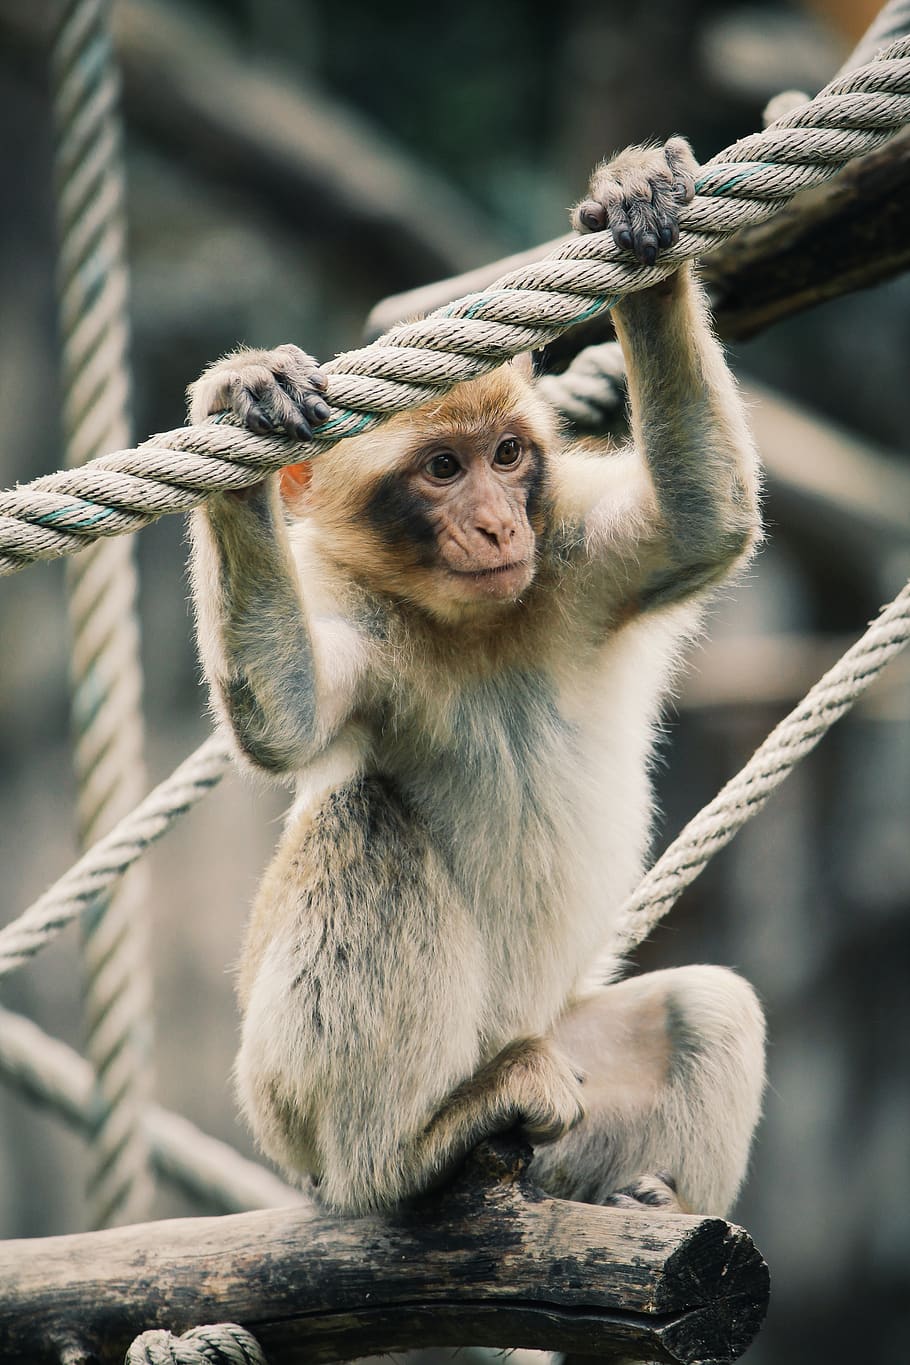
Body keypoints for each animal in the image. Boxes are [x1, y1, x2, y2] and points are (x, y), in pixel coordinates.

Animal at [187, 137, 766, 1219]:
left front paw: (639, 216)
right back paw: (404, 1153)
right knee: (365, 823)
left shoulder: (570, 552)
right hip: (283, 1102)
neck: (473, 627)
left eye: (505, 456)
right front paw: (243, 419)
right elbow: (287, 716)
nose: (497, 527)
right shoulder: (358, 617)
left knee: (705, 1008)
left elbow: (702, 522)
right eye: (443, 470)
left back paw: (645, 1203)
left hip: (568, 1051)